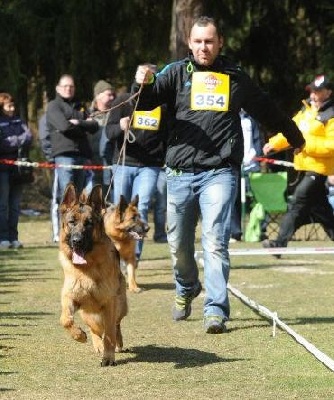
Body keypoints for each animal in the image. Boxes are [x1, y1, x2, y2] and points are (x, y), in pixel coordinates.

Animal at [58, 183, 126, 368]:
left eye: (89, 224)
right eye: (72, 222)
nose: (77, 241)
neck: (86, 268)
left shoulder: (109, 304)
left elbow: (109, 334)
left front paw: (108, 357)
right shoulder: (70, 298)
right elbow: (65, 319)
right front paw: (78, 335)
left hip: (120, 306)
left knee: (115, 326)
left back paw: (117, 343)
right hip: (87, 314)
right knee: (95, 329)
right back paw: (96, 344)